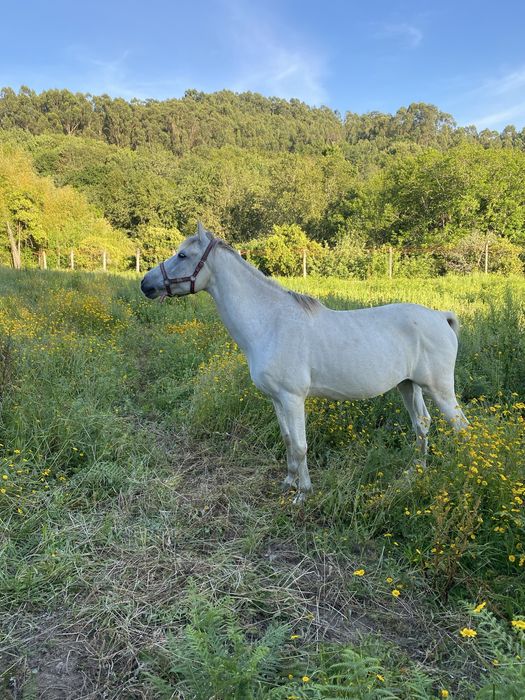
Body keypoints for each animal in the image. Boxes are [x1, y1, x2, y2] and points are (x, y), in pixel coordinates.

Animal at [141, 223, 468, 503]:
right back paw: (415, 473)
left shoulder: (292, 397)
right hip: (408, 386)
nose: (146, 284)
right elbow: (288, 441)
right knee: (422, 424)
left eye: (183, 255)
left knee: (461, 428)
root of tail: (441, 316)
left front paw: (302, 494)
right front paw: (288, 482)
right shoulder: (276, 399)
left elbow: (300, 446)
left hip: (439, 389)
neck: (270, 323)